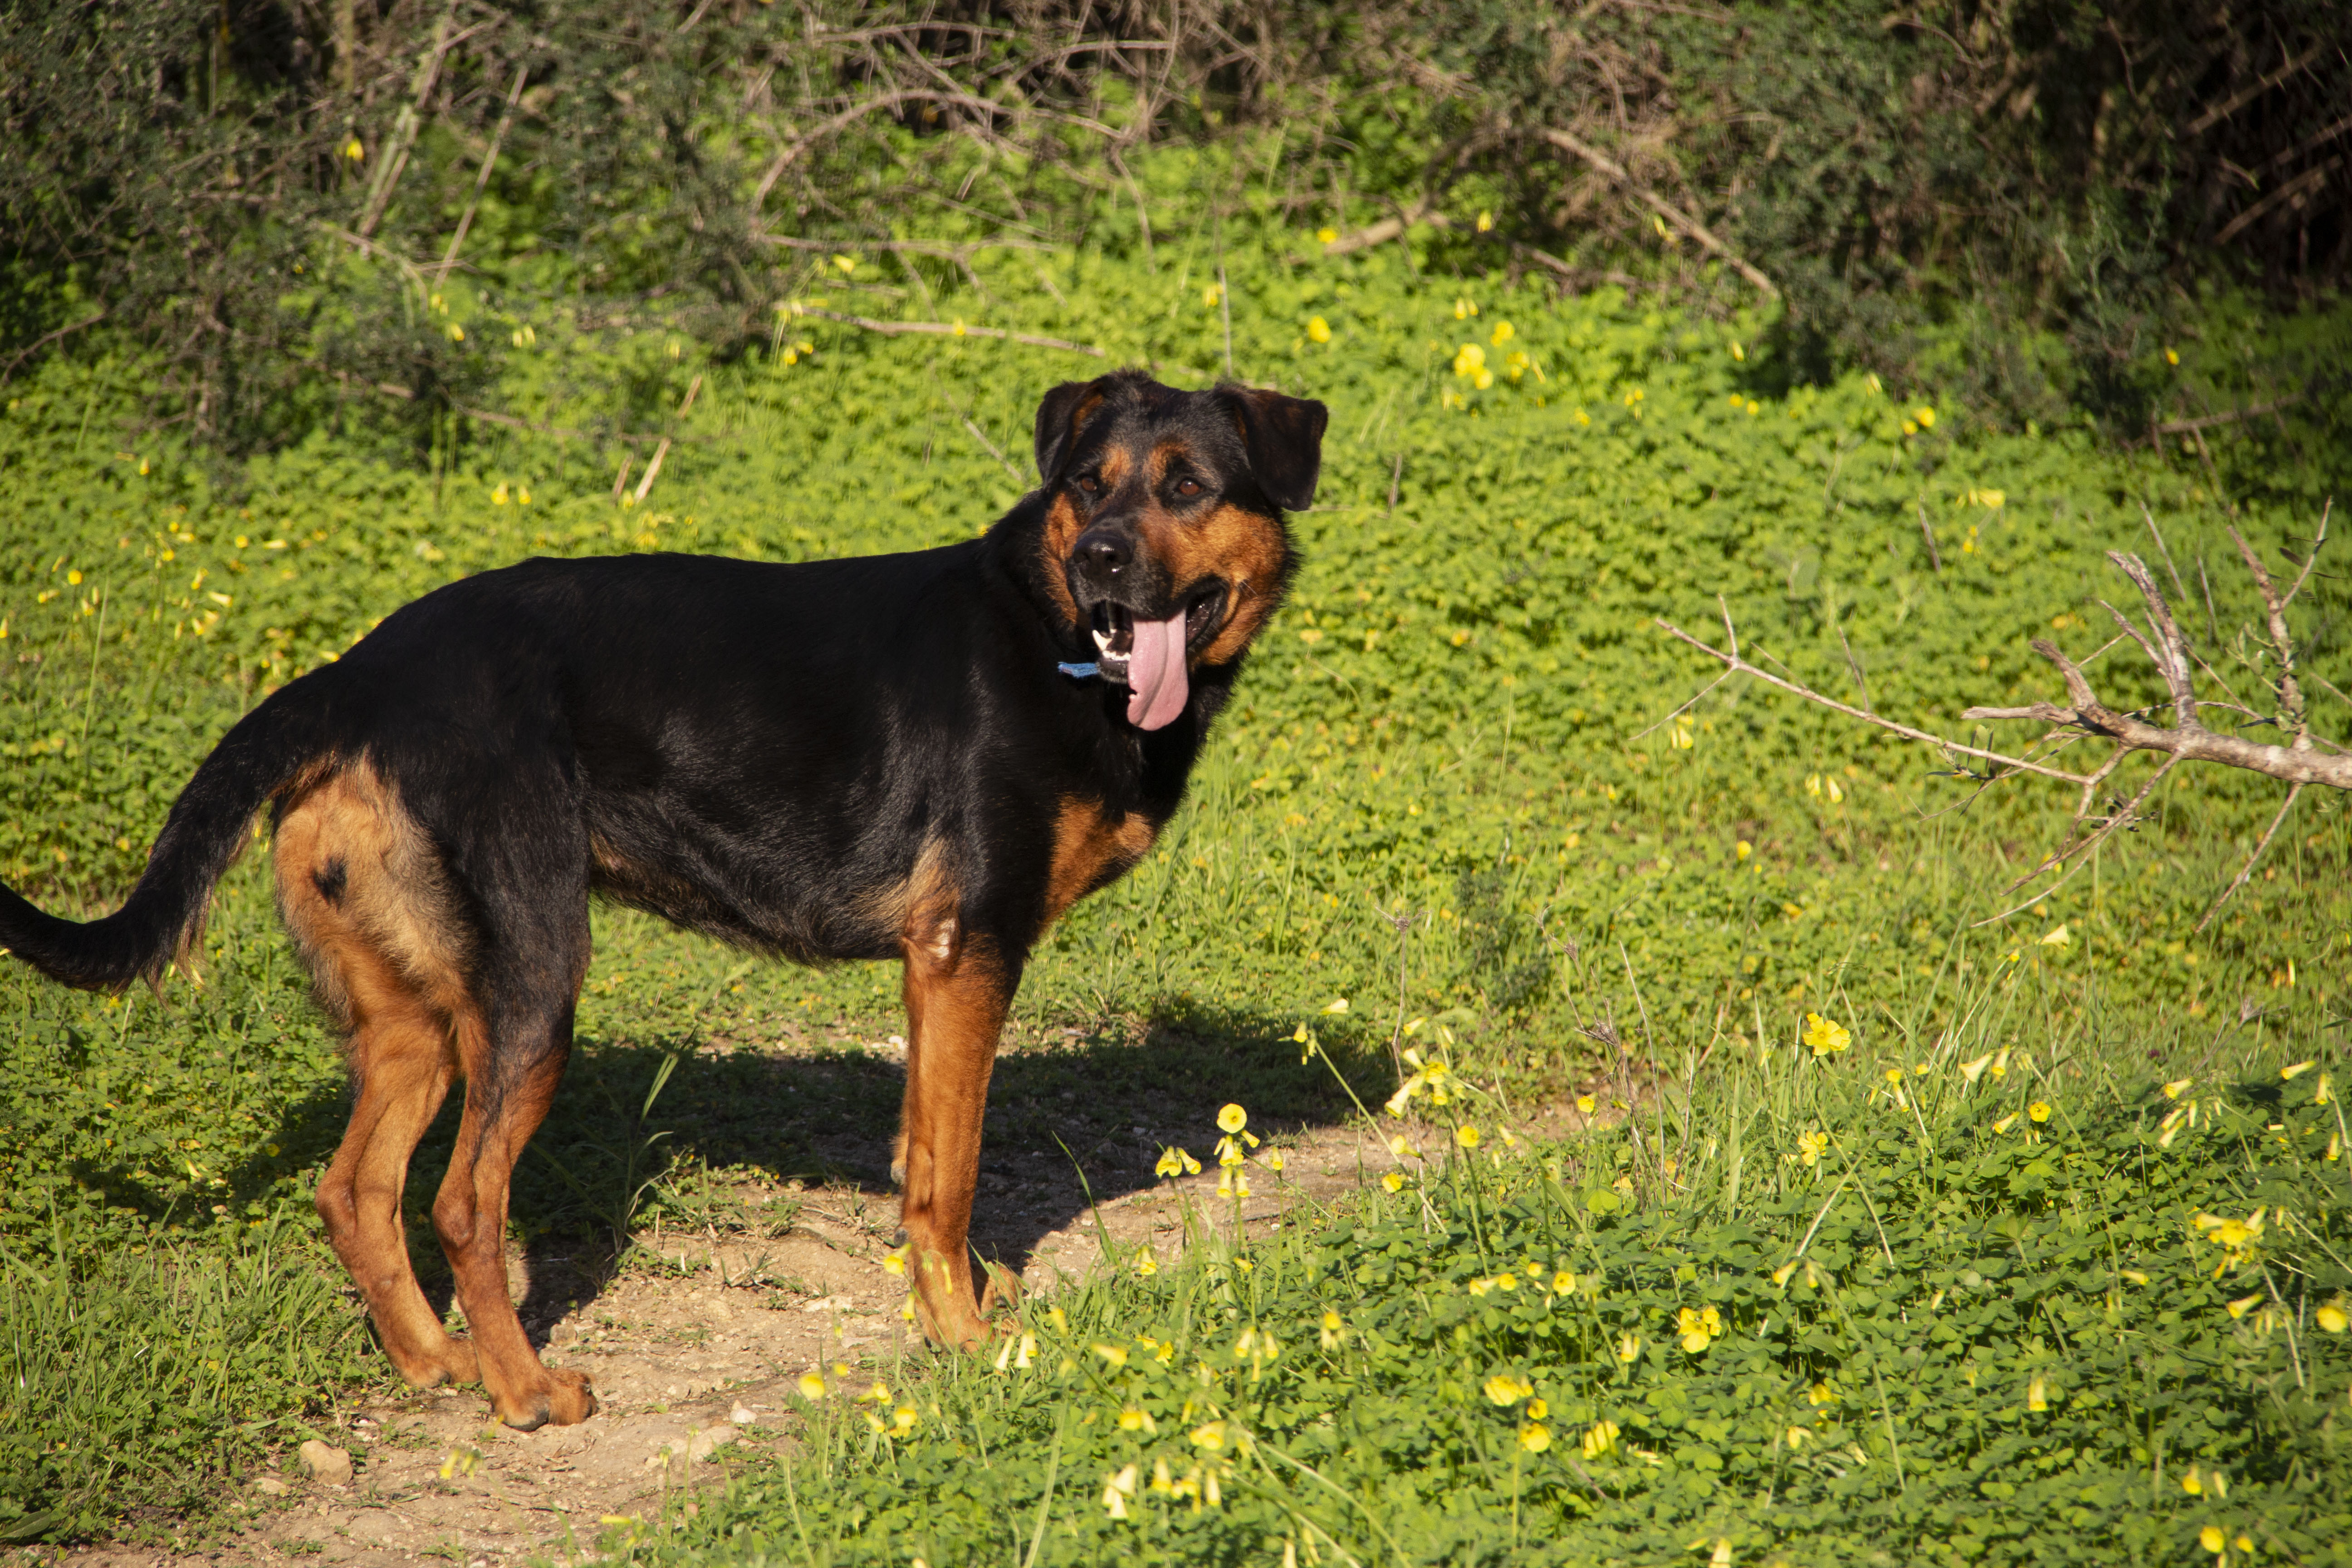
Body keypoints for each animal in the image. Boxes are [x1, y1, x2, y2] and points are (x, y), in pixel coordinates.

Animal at [0, 370, 1326, 1430]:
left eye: (1186, 486)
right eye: (1089, 487)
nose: (1099, 559)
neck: (1052, 631)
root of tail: (356, 676)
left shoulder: (935, 969)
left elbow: (924, 1157)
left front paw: (960, 1300)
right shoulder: (969, 946)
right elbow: (948, 1175)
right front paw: (965, 1338)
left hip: (418, 1016)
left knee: (357, 1190)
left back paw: (436, 1364)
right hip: (534, 986)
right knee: (464, 1202)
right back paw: (526, 1391)